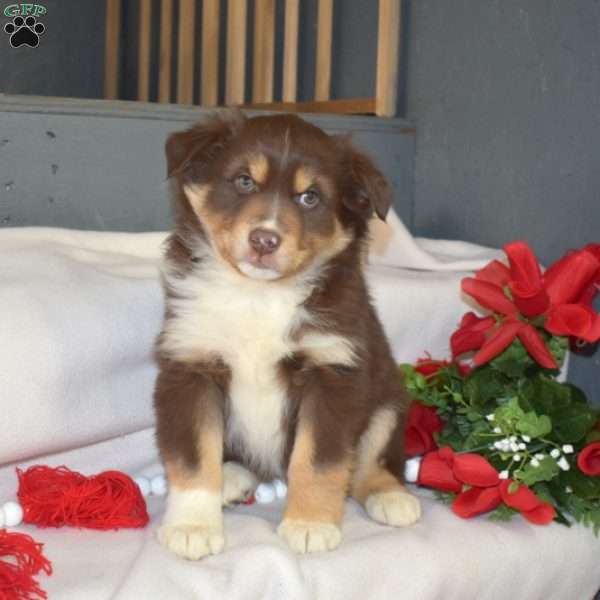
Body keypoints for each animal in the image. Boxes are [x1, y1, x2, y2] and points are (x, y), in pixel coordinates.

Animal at [152, 111, 420, 556]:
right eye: (244, 181)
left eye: (310, 197)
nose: (264, 239)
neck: (258, 294)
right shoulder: (191, 365)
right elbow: (193, 459)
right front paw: (192, 526)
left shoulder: (333, 373)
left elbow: (317, 461)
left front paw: (309, 523)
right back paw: (231, 478)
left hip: (387, 401)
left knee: (374, 460)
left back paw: (392, 497)